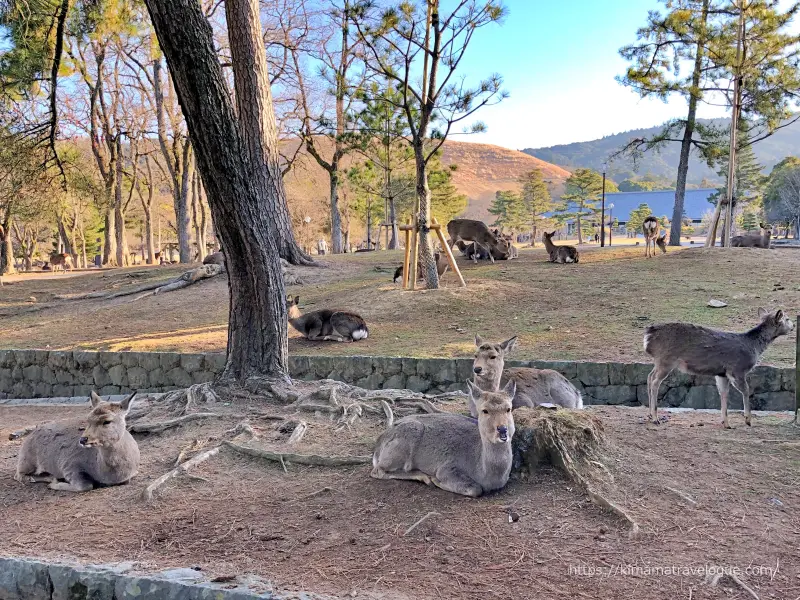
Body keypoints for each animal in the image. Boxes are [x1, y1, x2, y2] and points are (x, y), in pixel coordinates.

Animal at [370, 380, 516, 496]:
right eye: (484, 410)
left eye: (508, 409)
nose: (502, 429)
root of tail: (377, 447)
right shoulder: (447, 467)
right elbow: (475, 489)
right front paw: (435, 480)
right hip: (406, 438)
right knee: (378, 470)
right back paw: (423, 476)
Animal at [644, 308, 792, 428]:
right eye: (786, 318)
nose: (793, 325)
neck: (754, 347)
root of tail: (647, 336)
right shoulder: (737, 369)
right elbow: (746, 390)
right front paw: (748, 420)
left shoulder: (722, 373)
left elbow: (723, 393)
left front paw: (725, 422)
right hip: (666, 359)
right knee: (655, 381)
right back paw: (656, 418)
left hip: (660, 361)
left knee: (649, 376)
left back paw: (650, 415)